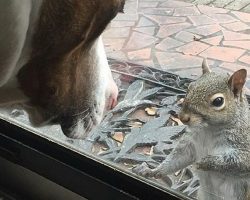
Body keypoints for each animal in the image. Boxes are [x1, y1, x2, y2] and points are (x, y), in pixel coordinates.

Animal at [134, 59, 250, 200]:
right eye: (189, 87)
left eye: (218, 101)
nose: (183, 118)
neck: (209, 129)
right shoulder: (190, 143)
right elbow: (178, 158)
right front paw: (153, 171)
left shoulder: (243, 143)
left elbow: (240, 163)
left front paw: (202, 163)